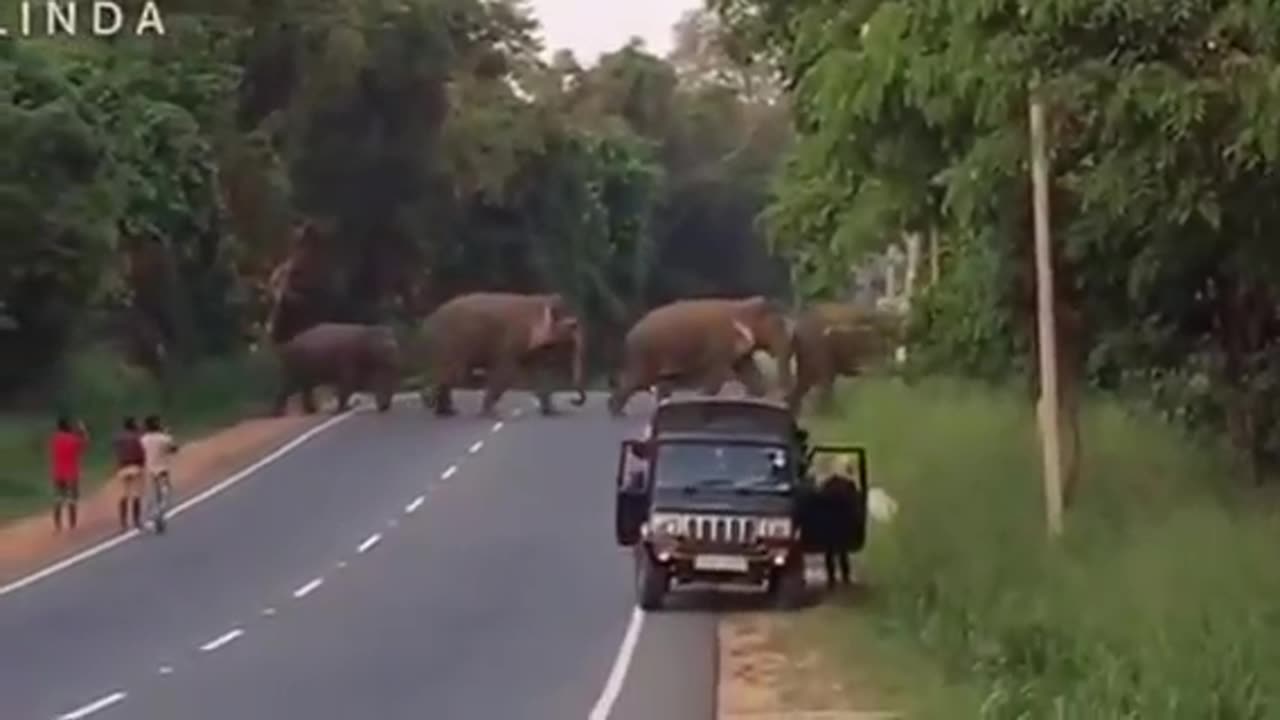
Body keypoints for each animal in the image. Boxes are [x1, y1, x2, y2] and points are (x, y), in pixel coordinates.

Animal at [412, 289, 586, 415]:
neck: (539, 301)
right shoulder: (511, 340)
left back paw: (446, 410)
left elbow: (536, 372)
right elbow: (506, 374)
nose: (574, 400)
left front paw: (551, 411)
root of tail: (425, 324)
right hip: (447, 345)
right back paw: (438, 405)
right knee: (452, 375)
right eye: (573, 326)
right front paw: (490, 413)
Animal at [606, 293, 793, 415]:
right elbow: (717, 377)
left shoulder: (738, 350)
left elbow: (748, 371)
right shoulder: (720, 344)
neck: (741, 306)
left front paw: (755, 396)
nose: (782, 397)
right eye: (778, 326)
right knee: (636, 380)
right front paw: (701, 397)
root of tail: (629, 334)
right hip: (646, 354)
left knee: (662, 382)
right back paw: (616, 412)